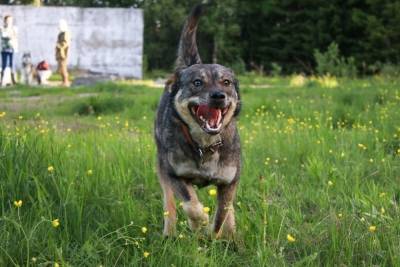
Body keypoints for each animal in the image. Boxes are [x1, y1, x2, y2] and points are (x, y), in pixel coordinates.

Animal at [154, 4, 241, 239]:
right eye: (197, 83)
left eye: (226, 82)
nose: (218, 96)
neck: (205, 144)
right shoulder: (175, 175)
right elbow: (191, 205)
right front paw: (199, 224)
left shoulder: (229, 182)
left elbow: (221, 215)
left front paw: (216, 233)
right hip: (162, 168)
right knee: (170, 205)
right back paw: (170, 232)